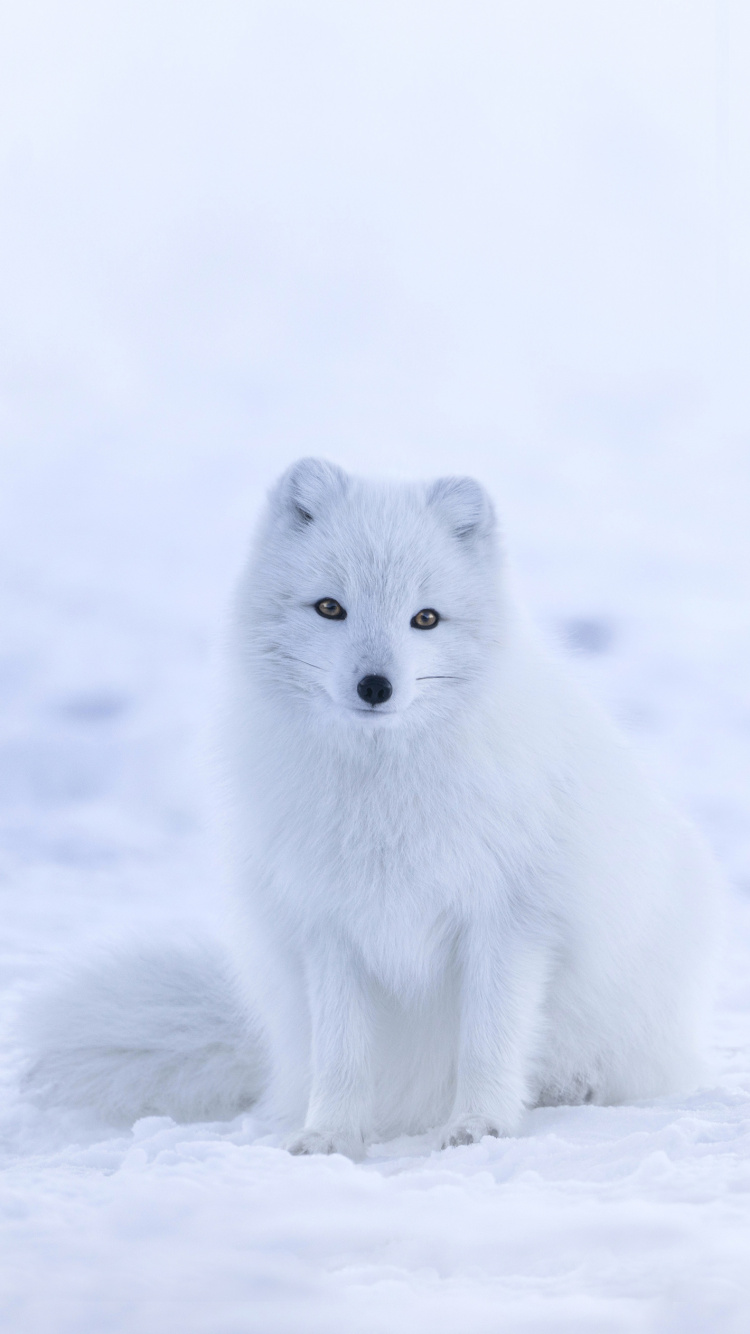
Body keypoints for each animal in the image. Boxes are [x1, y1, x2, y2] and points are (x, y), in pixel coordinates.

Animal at [22, 459, 718, 1156]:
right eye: (331, 607)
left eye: (426, 619)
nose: (376, 687)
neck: (383, 794)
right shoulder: (328, 925)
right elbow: (342, 1053)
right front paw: (329, 1135)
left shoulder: (509, 919)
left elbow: (488, 1041)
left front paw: (479, 1126)